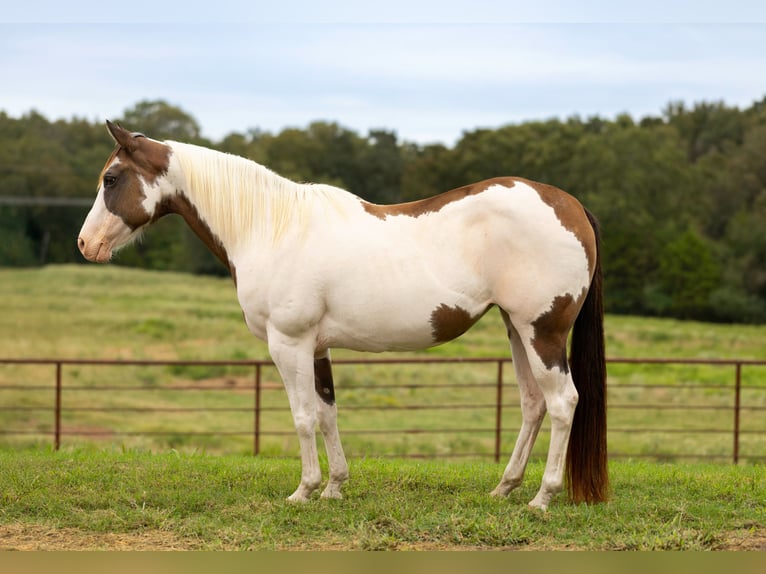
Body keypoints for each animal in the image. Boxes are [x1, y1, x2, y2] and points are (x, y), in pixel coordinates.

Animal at [78, 121, 608, 510]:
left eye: (111, 179)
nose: (85, 244)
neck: (270, 229)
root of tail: (571, 204)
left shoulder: (287, 342)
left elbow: (302, 416)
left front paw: (304, 491)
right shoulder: (317, 347)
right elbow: (328, 413)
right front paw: (334, 487)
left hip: (542, 332)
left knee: (563, 404)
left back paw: (542, 498)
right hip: (517, 330)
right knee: (533, 404)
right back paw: (504, 487)